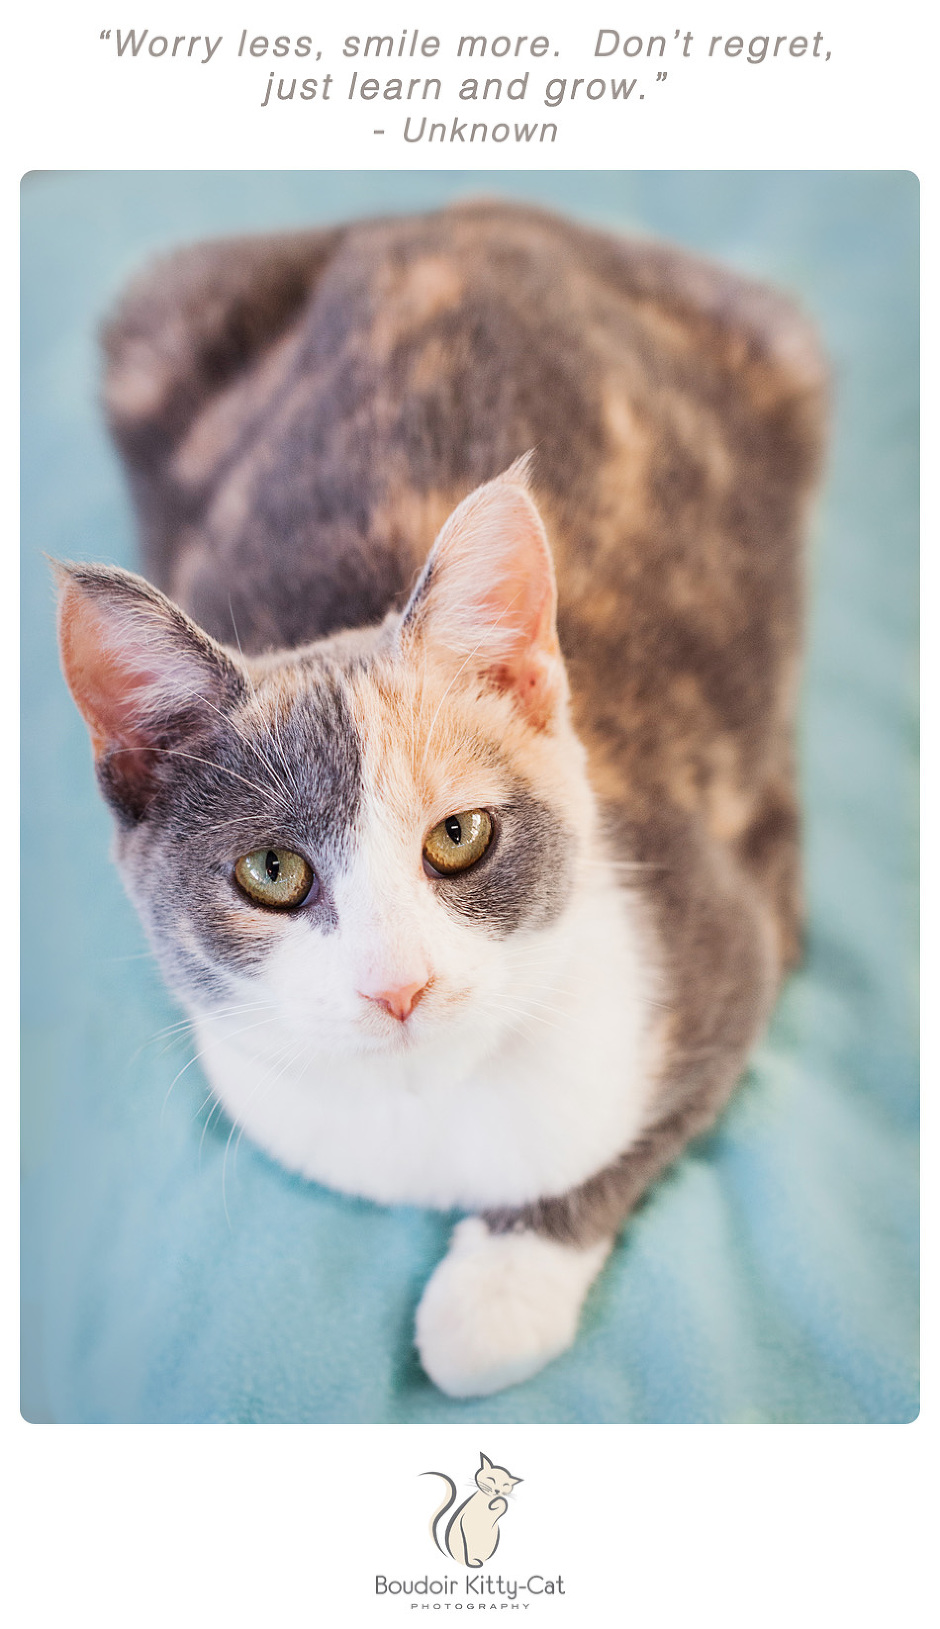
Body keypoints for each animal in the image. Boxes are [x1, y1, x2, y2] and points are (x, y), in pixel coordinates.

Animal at [54, 200, 824, 1400]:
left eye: (459, 835)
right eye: (271, 871)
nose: (398, 986)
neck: (425, 1108)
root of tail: (467, 210)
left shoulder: (735, 925)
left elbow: (640, 1128)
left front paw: (498, 1291)